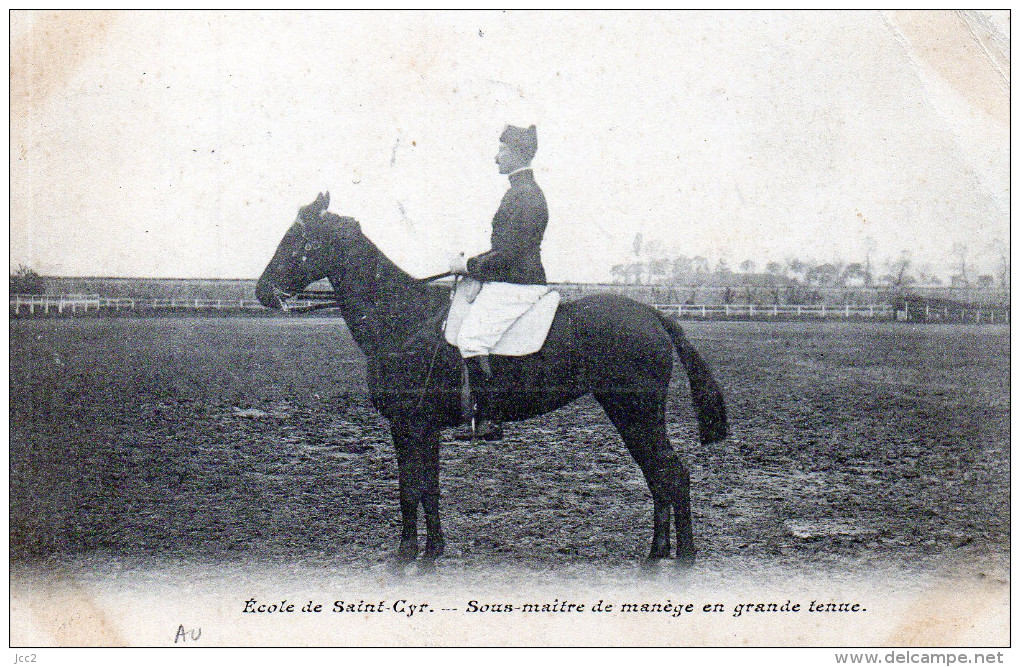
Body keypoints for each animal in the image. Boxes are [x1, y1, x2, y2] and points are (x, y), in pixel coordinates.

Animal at [259, 193, 730, 571]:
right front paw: (432, 552)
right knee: (659, 475)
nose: (263, 291)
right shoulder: (423, 428)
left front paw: (406, 555)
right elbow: (428, 487)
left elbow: (410, 487)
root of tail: (652, 314)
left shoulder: (410, 425)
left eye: (295, 239)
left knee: (671, 473)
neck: (402, 318)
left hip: (635, 413)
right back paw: (657, 554)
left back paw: (681, 558)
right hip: (630, 414)